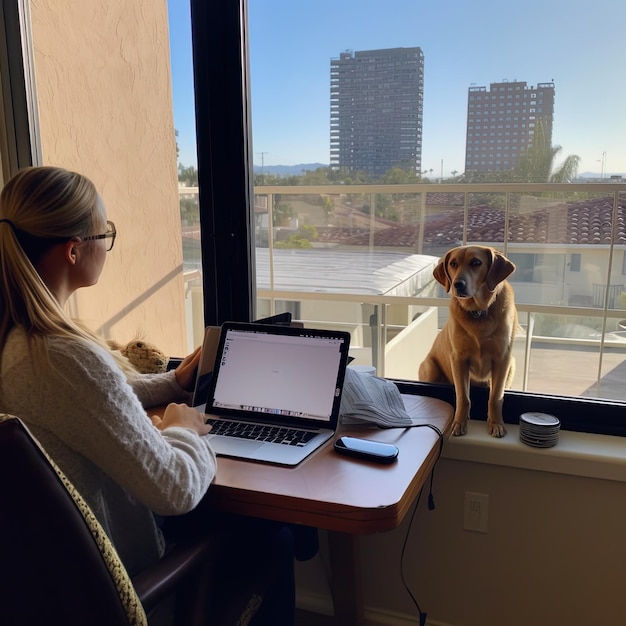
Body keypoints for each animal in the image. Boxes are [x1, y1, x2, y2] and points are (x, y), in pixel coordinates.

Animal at [420, 241, 516, 436]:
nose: (458, 284)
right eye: (453, 264)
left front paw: (496, 423)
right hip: (429, 367)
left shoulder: (502, 359)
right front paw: (458, 423)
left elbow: (495, 397)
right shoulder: (459, 359)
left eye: (476, 262)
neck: (478, 311)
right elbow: (463, 397)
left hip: (512, 364)